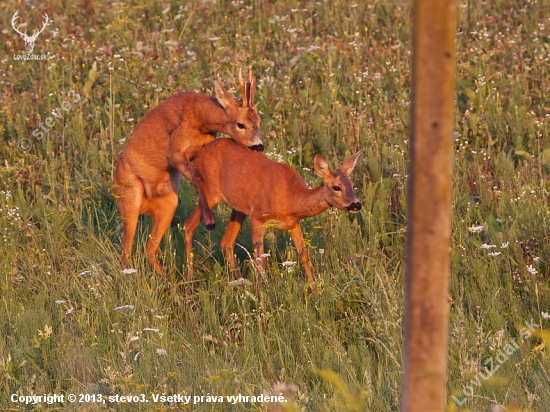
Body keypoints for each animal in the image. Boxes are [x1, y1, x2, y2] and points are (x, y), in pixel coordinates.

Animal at [113, 69, 264, 280]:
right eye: (240, 124)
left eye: (259, 121)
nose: (259, 146)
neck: (201, 119)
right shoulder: (175, 153)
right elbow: (196, 177)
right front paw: (209, 221)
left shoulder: (200, 149)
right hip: (129, 199)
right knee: (126, 252)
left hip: (169, 203)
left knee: (149, 249)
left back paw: (173, 283)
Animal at [183, 138, 362, 290]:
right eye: (336, 187)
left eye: (353, 185)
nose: (356, 204)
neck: (292, 198)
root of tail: (200, 153)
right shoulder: (257, 217)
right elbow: (260, 260)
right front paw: (261, 294)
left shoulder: (293, 224)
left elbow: (304, 255)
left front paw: (315, 291)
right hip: (210, 193)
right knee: (188, 225)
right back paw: (191, 282)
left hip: (239, 208)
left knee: (226, 242)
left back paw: (239, 282)